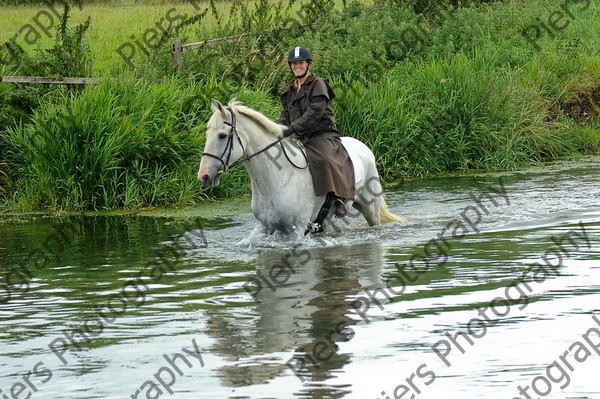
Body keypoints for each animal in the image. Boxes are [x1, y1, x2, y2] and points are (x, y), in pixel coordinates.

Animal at [198, 99, 404, 236]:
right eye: (207, 134)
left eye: (222, 135)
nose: (204, 176)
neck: (277, 177)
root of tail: (364, 146)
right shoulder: (268, 228)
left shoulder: (296, 230)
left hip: (370, 209)